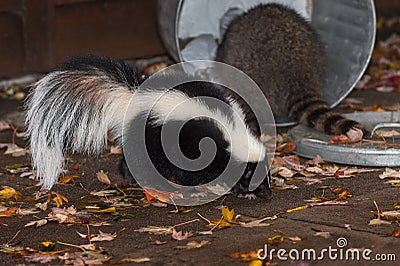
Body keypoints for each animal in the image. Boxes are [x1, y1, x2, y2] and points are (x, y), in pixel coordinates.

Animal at [25, 54, 272, 197]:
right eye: (254, 178)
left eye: (267, 176)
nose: (268, 194)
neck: (232, 133)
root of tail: (134, 94)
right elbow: (195, 173)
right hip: (149, 135)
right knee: (135, 160)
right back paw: (135, 180)